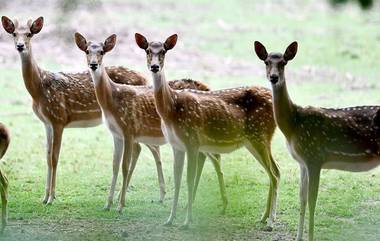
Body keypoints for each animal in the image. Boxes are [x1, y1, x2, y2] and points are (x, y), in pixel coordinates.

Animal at [0, 16, 148, 205]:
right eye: (13, 34)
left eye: (29, 34)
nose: (20, 46)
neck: (39, 88)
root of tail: (144, 77)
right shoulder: (47, 122)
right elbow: (47, 157)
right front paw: (44, 197)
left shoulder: (59, 118)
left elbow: (55, 158)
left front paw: (51, 198)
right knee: (138, 148)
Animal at [74, 32, 229, 213]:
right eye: (86, 51)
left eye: (102, 52)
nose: (93, 64)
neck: (112, 100)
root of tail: (208, 88)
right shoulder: (116, 134)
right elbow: (114, 166)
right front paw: (107, 204)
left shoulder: (129, 129)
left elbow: (124, 166)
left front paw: (120, 206)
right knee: (207, 156)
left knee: (215, 157)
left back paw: (222, 203)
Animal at [135, 33, 280, 229]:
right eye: (148, 50)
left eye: (164, 51)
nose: (155, 66)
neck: (171, 109)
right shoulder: (176, 145)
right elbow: (178, 180)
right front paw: (170, 219)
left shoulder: (192, 141)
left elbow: (189, 180)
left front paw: (186, 222)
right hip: (253, 141)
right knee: (274, 171)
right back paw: (263, 217)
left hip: (261, 135)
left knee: (274, 174)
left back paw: (270, 222)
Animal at [254, 40, 380, 240]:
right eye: (266, 61)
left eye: (283, 62)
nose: (273, 77)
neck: (293, 125)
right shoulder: (302, 162)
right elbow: (302, 199)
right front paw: (298, 237)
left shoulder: (315, 156)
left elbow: (313, 200)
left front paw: (310, 236)